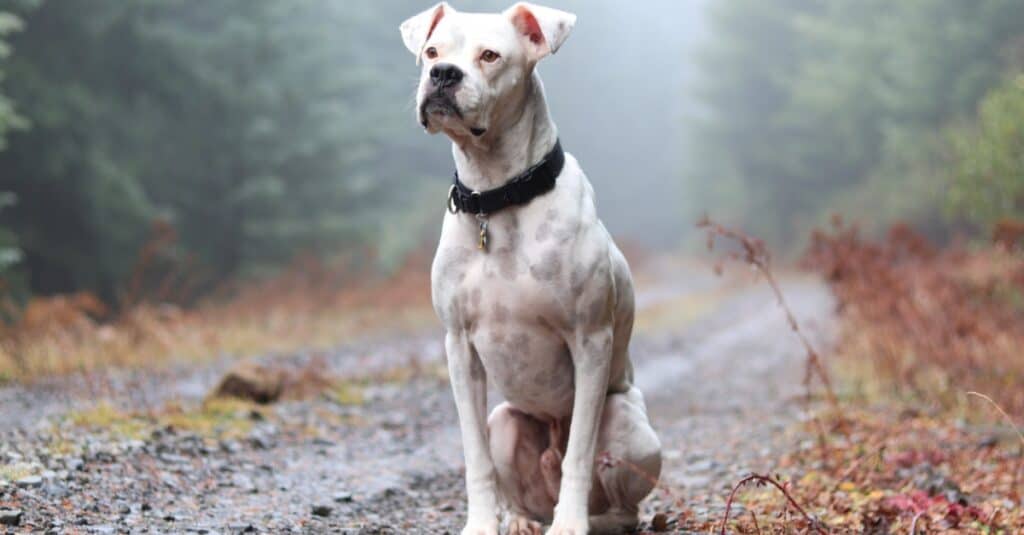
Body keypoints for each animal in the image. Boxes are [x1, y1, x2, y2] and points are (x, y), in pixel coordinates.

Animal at [401, 2, 663, 528]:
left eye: (490, 56)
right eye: (432, 51)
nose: (443, 74)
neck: (497, 196)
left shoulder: (591, 341)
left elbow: (579, 451)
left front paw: (570, 526)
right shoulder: (459, 347)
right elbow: (475, 455)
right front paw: (482, 525)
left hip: (632, 430)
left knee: (616, 498)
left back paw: (593, 519)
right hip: (505, 422)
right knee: (519, 481)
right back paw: (523, 520)